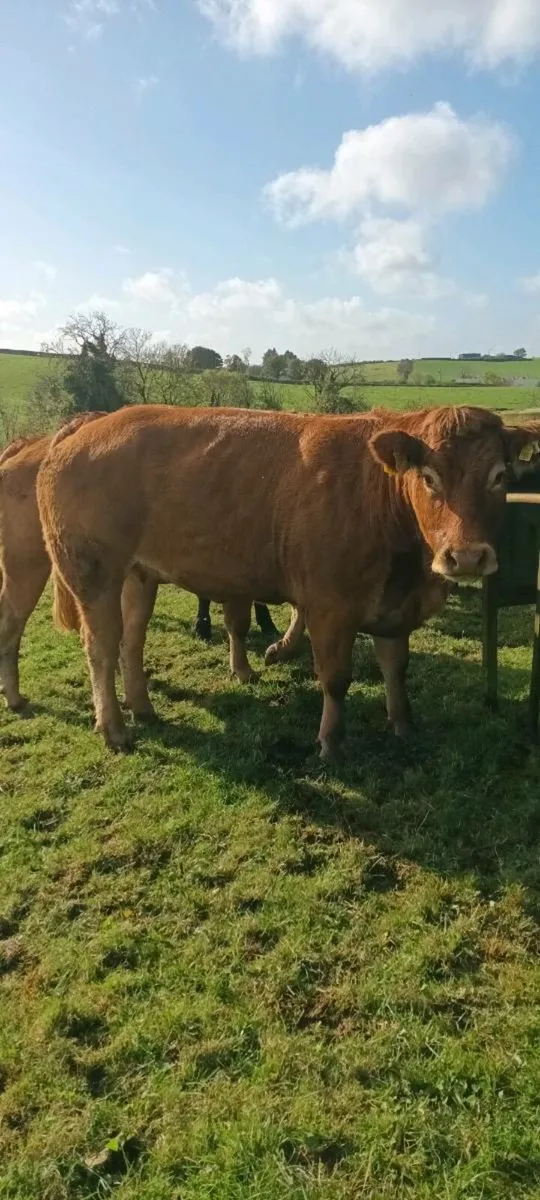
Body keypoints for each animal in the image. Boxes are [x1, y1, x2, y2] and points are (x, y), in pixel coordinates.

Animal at [36, 404, 540, 756]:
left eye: (500, 477)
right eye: (429, 477)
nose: (467, 556)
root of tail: (93, 422)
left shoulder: (394, 606)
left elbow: (396, 667)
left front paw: (402, 725)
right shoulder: (330, 607)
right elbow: (336, 678)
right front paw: (330, 740)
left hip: (138, 576)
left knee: (132, 641)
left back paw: (142, 707)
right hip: (92, 573)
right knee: (100, 648)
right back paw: (115, 728)